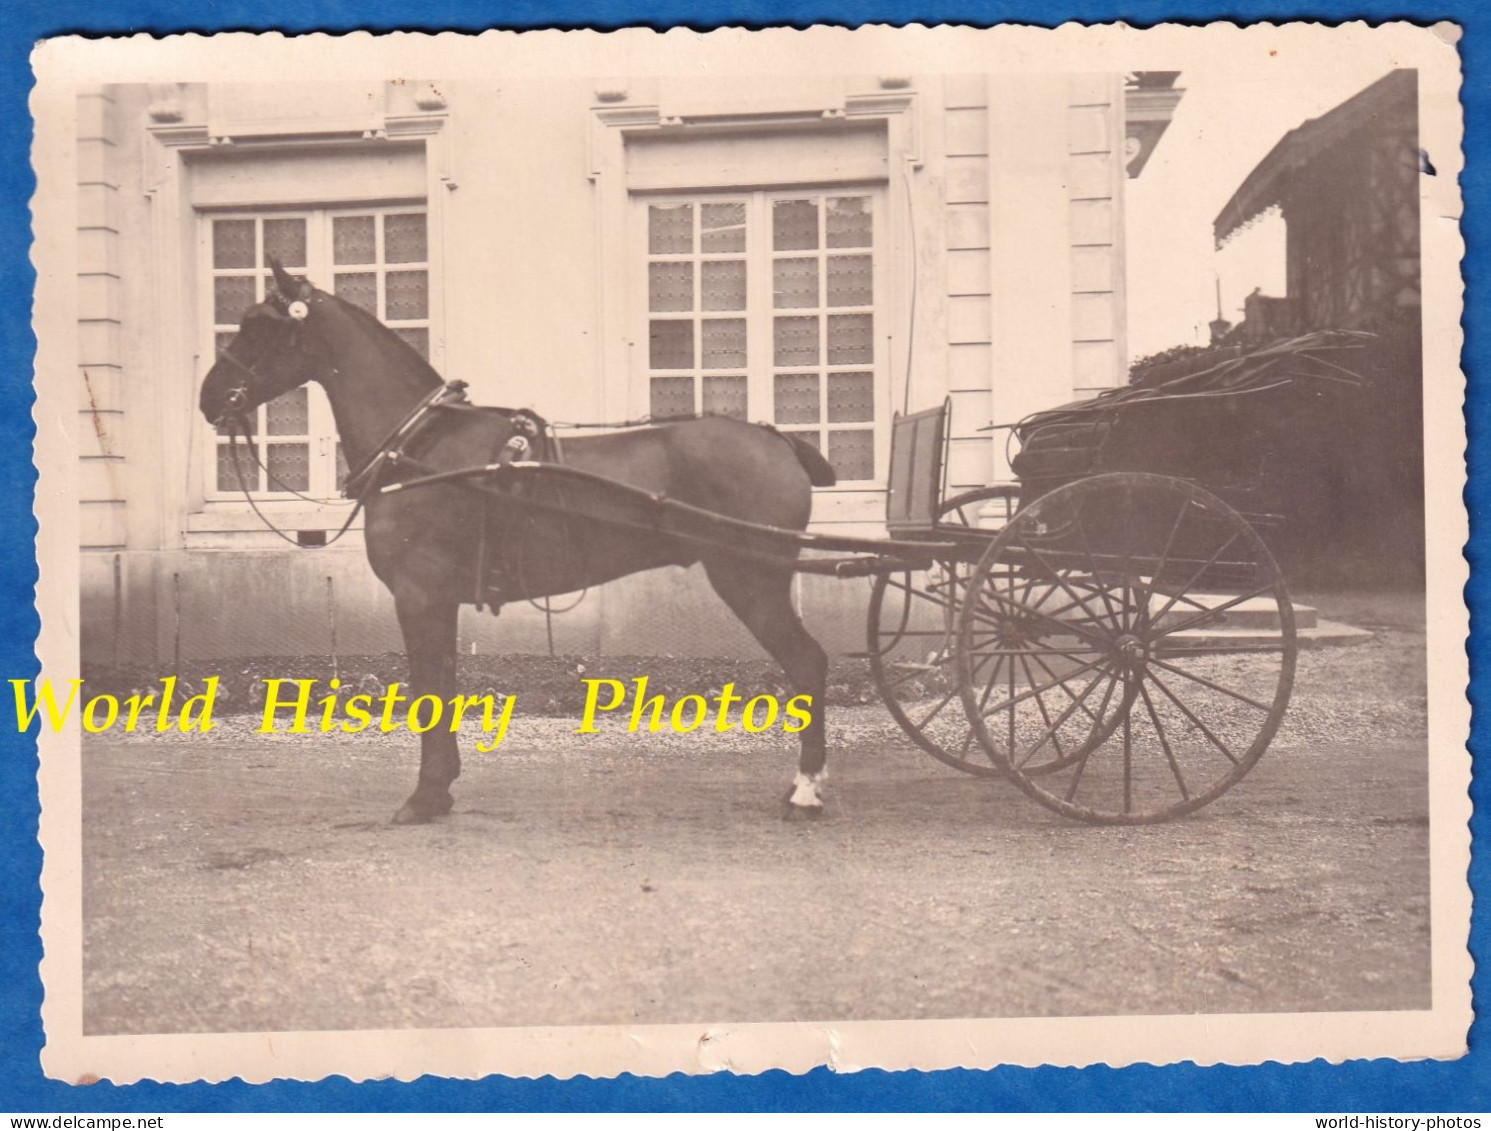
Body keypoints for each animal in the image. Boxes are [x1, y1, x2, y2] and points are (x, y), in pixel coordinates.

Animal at [198, 260, 840, 828]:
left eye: (258, 324)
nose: (209, 397)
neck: (421, 447)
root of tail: (775, 439)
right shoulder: (436, 602)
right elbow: (443, 687)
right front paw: (441, 788)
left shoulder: (419, 598)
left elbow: (430, 693)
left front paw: (425, 796)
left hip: (752, 581)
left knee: (808, 663)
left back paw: (807, 790)